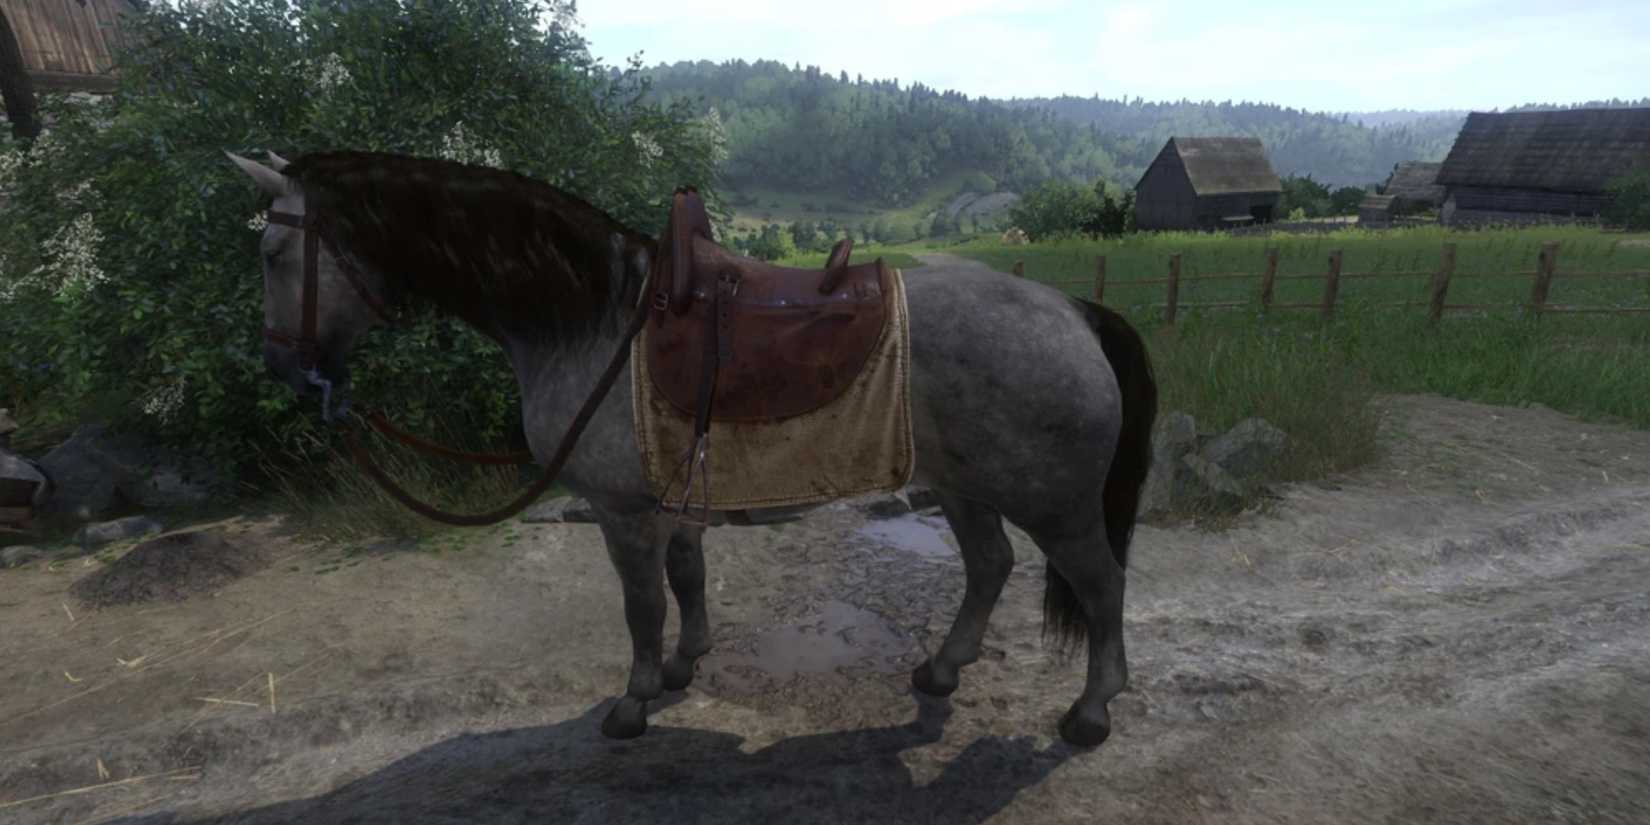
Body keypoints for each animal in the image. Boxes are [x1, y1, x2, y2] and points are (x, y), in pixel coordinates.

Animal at [226, 150, 1157, 748]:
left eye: (272, 249)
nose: (281, 366)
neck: (591, 318)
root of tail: (1076, 312)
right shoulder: (671, 503)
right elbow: (687, 579)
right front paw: (684, 664)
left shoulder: (621, 511)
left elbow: (641, 604)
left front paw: (635, 701)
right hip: (964, 484)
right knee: (990, 565)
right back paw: (940, 670)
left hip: (1056, 503)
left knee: (1101, 583)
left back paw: (1091, 712)